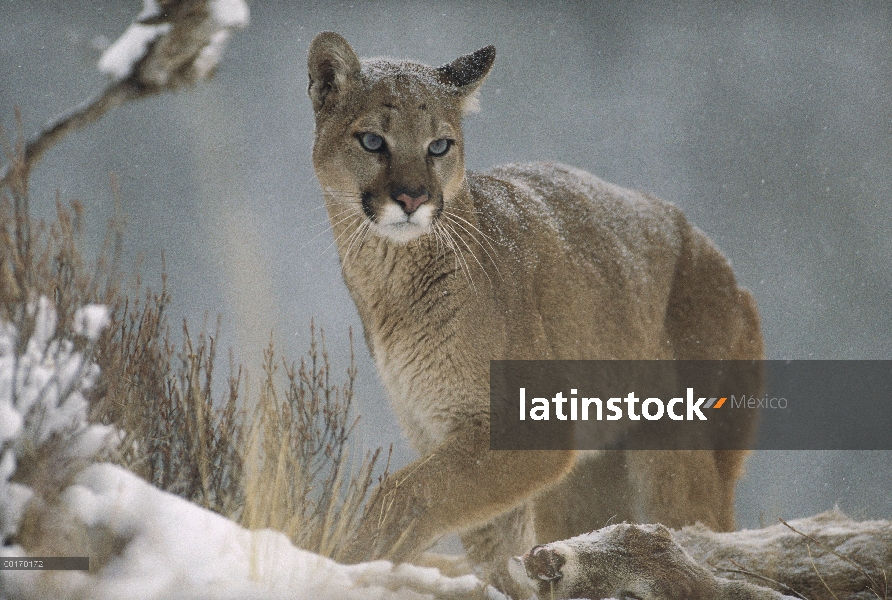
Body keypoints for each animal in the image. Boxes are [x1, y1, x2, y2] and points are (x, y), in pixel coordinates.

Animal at [304, 32, 760, 596]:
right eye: (372, 141)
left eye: (439, 145)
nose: (412, 198)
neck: (392, 281)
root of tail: (726, 267)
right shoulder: (439, 425)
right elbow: (485, 540)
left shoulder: (525, 428)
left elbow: (408, 490)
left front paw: (346, 558)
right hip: (586, 481)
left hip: (676, 455)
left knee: (697, 536)